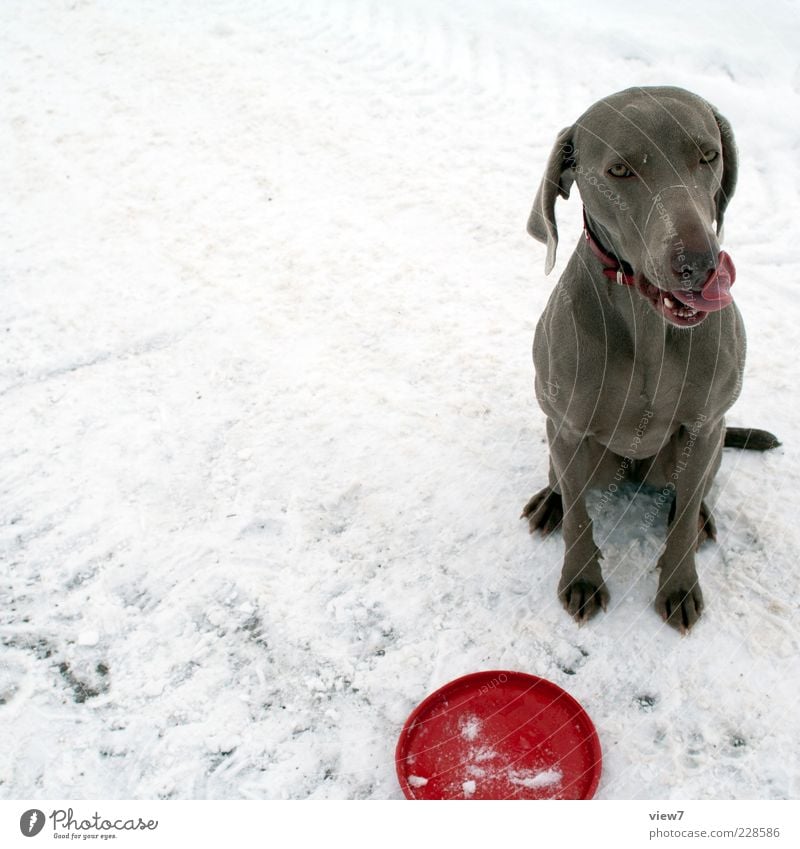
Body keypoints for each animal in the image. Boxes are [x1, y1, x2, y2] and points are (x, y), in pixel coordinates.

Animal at [520, 88, 780, 628]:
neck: (649, 324)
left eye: (708, 155)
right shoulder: (567, 427)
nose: (701, 266)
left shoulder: (705, 425)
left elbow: (678, 525)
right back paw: (549, 503)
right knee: (564, 484)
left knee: (691, 494)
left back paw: (700, 515)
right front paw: (581, 579)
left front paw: (679, 586)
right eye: (620, 171)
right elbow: (579, 516)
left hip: (694, 451)